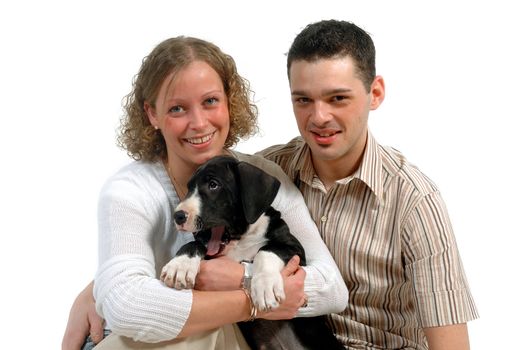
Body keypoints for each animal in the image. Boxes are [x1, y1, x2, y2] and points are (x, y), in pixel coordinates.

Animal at [160, 157, 342, 350]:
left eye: (213, 184)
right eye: (189, 188)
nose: (178, 216)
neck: (241, 238)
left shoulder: (295, 249)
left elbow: (266, 250)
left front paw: (265, 286)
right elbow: (194, 244)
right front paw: (180, 265)